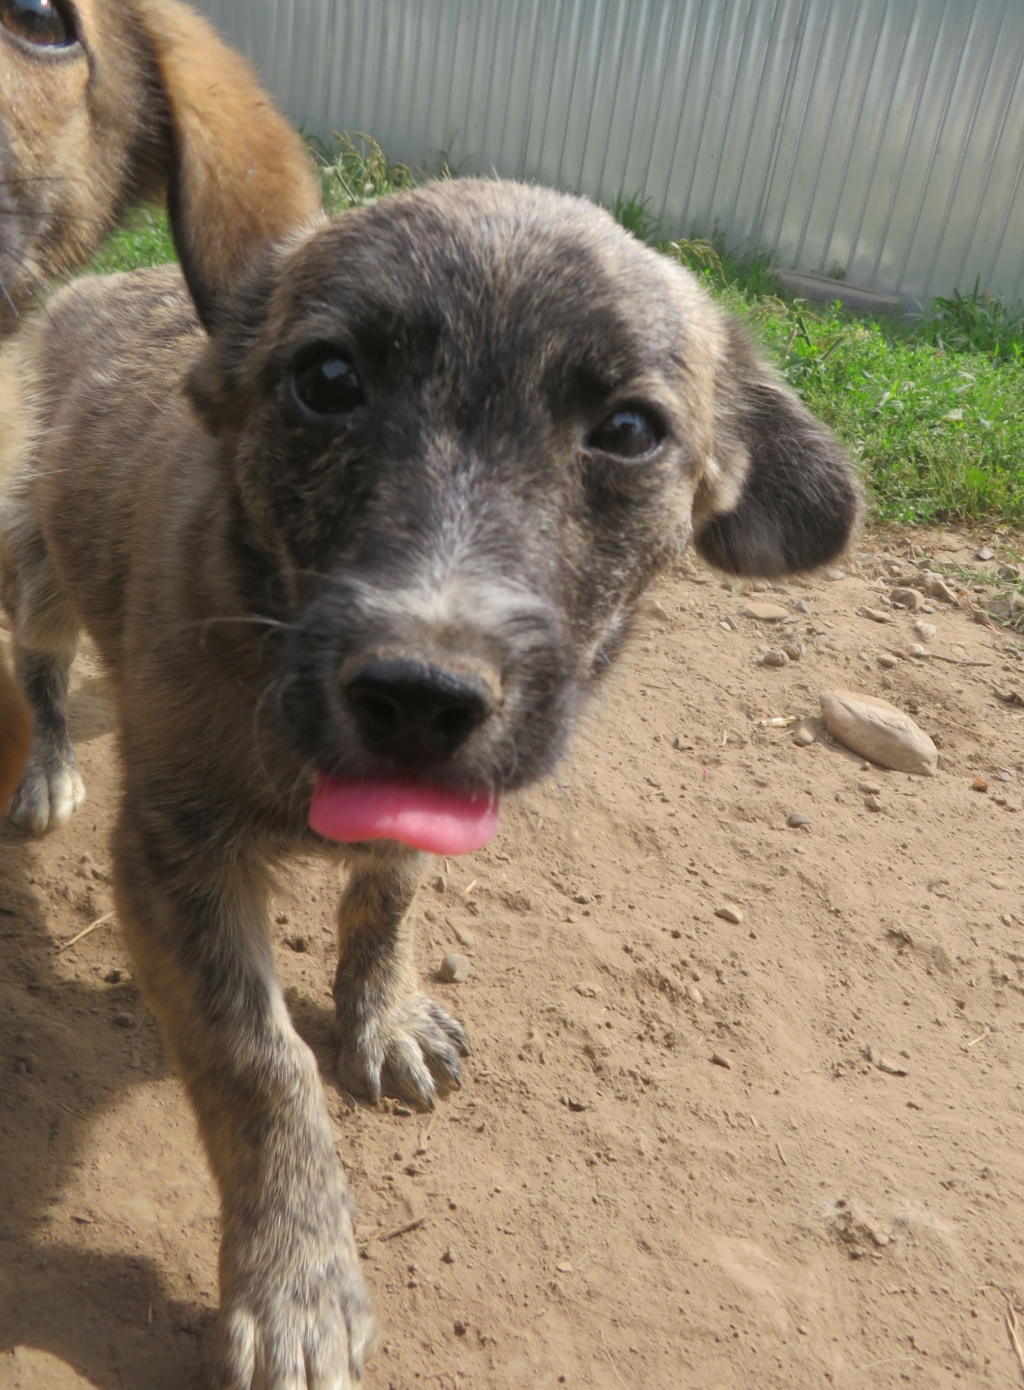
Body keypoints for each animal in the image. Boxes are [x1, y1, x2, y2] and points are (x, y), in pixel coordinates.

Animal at [0, 157, 861, 1384]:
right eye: (326, 379)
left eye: (629, 430)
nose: (419, 695)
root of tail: (108, 282)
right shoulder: (170, 860)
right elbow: (257, 1061)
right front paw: (297, 1282)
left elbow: (388, 898)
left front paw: (383, 1012)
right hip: (37, 563)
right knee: (41, 662)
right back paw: (45, 771)